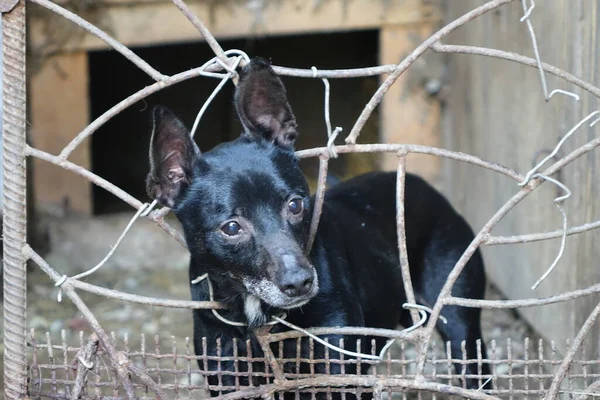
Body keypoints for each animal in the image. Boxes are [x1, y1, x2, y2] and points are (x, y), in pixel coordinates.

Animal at [148, 57, 490, 396]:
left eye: (295, 204)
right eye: (231, 228)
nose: (299, 283)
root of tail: (425, 187)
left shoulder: (338, 372)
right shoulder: (228, 378)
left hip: (460, 327)